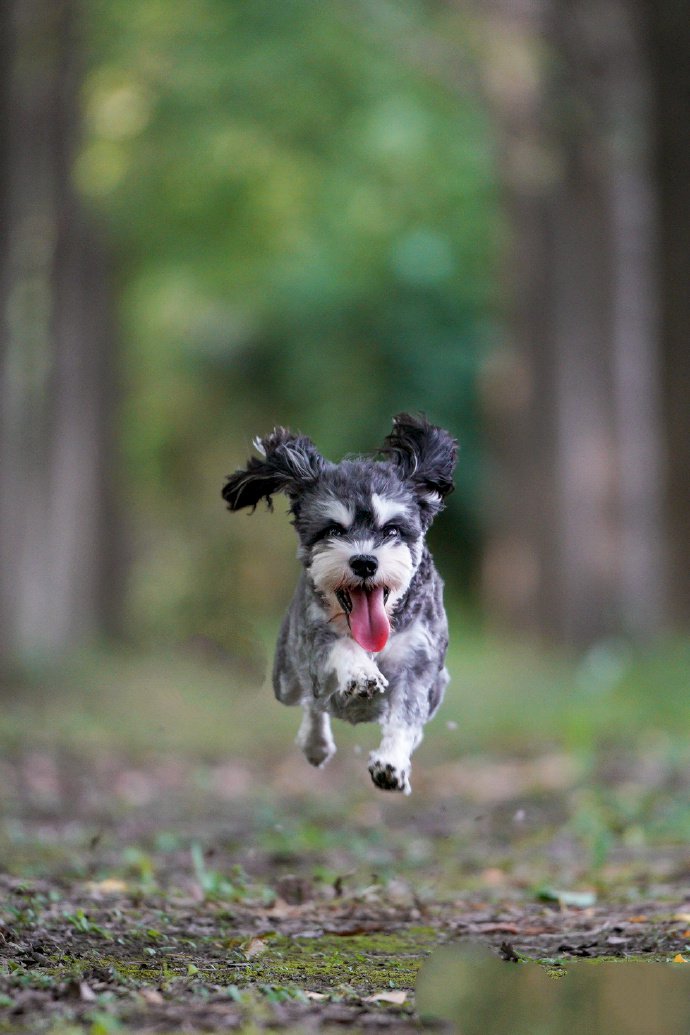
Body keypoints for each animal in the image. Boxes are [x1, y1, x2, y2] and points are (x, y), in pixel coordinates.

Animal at [222, 411, 459, 790]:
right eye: (333, 530)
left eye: (392, 530)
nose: (364, 562)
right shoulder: (314, 644)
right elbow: (338, 653)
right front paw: (362, 674)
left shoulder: (418, 662)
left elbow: (406, 717)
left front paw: (391, 764)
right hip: (285, 679)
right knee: (311, 704)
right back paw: (315, 744)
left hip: (439, 685)